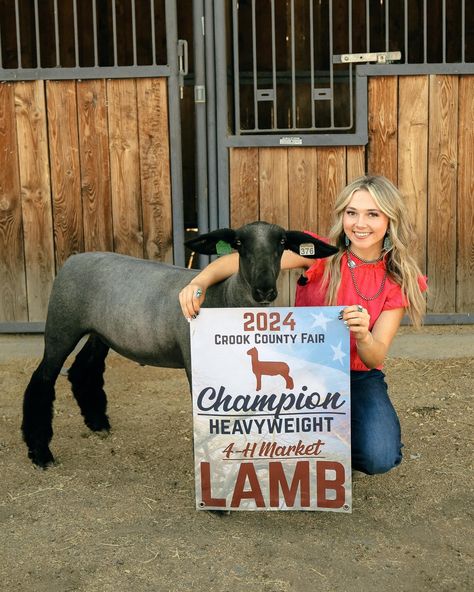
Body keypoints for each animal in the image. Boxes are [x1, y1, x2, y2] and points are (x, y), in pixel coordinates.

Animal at [20, 220, 336, 470]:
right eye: (238, 243)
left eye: (282, 242)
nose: (264, 290)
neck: (224, 297)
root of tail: (74, 259)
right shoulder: (195, 362)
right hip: (61, 326)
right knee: (42, 380)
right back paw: (41, 453)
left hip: (99, 333)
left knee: (84, 370)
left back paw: (98, 424)